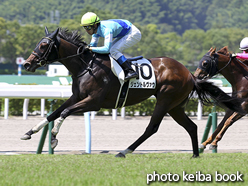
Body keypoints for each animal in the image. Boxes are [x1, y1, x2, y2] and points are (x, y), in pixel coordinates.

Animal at [20, 27, 244, 158]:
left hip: (165, 100)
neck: (86, 66)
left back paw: (124, 151)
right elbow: (54, 113)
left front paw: (54, 138)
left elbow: (64, 113)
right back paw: (195, 154)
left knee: (152, 128)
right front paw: (29, 132)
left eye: (44, 45)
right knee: (191, 126)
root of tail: (189, 74)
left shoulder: (93, 102)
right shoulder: (77, 97)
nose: (28, 63)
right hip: (175, 106)